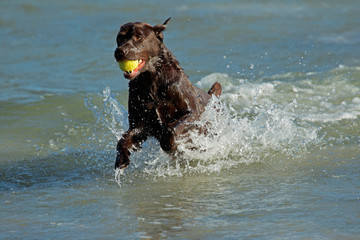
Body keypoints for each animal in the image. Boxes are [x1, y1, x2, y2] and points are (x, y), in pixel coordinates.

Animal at [114, 17, 222, 170]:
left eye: (139, 37)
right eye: (119, 38)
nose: (119, 52)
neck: (151, 80)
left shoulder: (193, 112)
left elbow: (170, 130)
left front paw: (171, 147)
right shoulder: (141, 124)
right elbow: (124, 139)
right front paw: (122, 157)